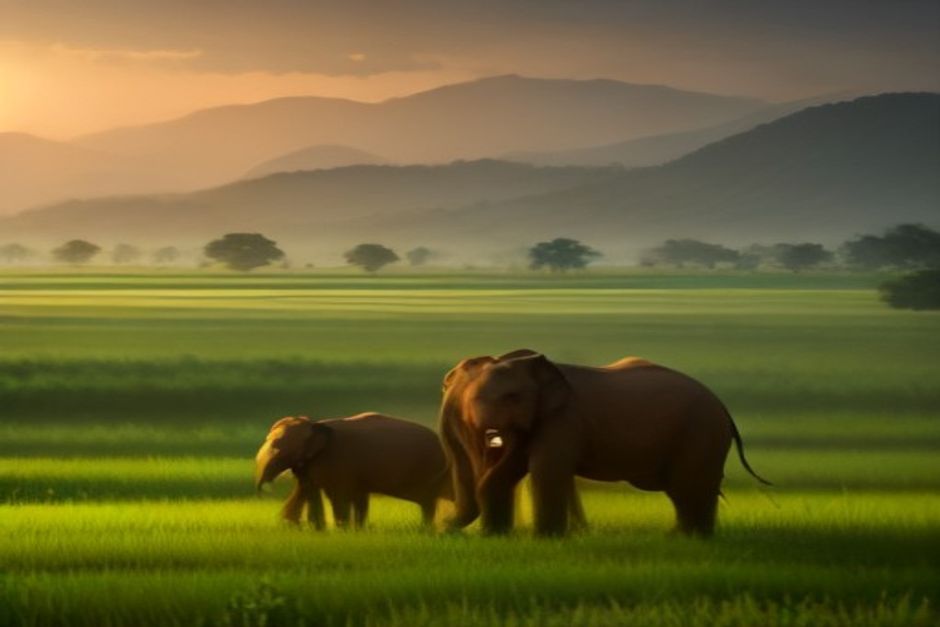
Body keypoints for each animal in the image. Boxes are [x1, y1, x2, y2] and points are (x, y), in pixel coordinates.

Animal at [255, 413, 452, 529]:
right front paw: (320, 531)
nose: (262, 494)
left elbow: (337, 495)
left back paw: (426, 528)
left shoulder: (336, 460)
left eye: (280, 452)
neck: (314, 424)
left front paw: (341, 530)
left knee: (427, 501)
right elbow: (311, 489)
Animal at [439, 350, 770, 537]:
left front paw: (546, 540)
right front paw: (495, 538)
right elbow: (507, 473)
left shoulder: (564, 419)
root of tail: (723, 407)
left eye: (512, 397)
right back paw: (679, 537)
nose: (440, 530)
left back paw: (691, 539)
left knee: (691, 484)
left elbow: (546, 471)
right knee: (682, 490)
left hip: (702, 431)